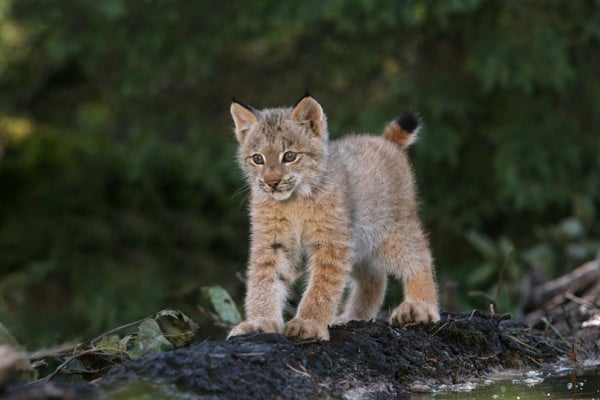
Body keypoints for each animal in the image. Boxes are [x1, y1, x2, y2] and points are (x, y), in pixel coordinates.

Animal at [227, 94, 438, 340]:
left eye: (289, 156)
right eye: (257, 159)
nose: (271, 183)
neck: (293, 200)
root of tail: (382, 140)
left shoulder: (331, 242)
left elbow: (322, 286)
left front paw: (308, 323)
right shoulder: (272, 242)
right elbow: (264, 279)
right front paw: (260, 322)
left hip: (391, 230)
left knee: (420, 257)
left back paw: (420, 306)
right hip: (358, 240)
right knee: (375, 276)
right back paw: (353, 317)